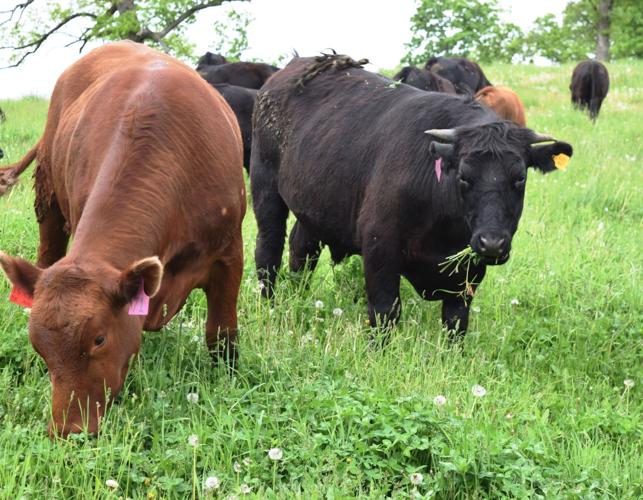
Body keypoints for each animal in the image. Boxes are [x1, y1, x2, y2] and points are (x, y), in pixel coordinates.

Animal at [0, 41, 246, 437]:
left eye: (99, 339)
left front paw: (229, 379)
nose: (68, 431)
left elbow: (221, 335)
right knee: (48, 249)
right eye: (38, 345)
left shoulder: (229, 254)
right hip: (50, 195)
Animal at [251, 54, 572, 337]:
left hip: (315, 205)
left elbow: (456, 321)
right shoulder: (380, 248)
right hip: (265, 189)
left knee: (302, 249)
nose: (492, 243)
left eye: (520, 177)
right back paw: (270, 304)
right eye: (463, 176)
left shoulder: (469, 270)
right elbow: (385, 312)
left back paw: (298, 296)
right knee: (268, 250)